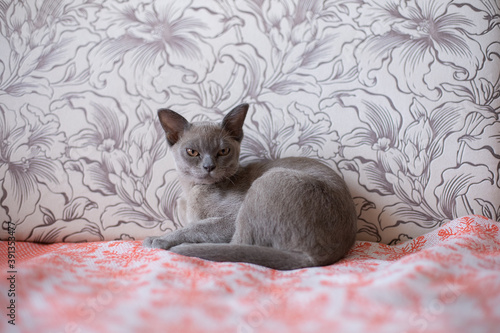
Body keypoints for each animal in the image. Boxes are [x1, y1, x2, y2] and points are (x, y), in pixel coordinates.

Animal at [143, 104, 358, 270]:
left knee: (238, 246)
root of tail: (317, 258)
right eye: (192, 152)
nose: (209, 166)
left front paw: (159, 239)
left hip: (268, 181)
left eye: (223, 151)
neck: (191, 192)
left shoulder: (230, 218)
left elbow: (196, 226)